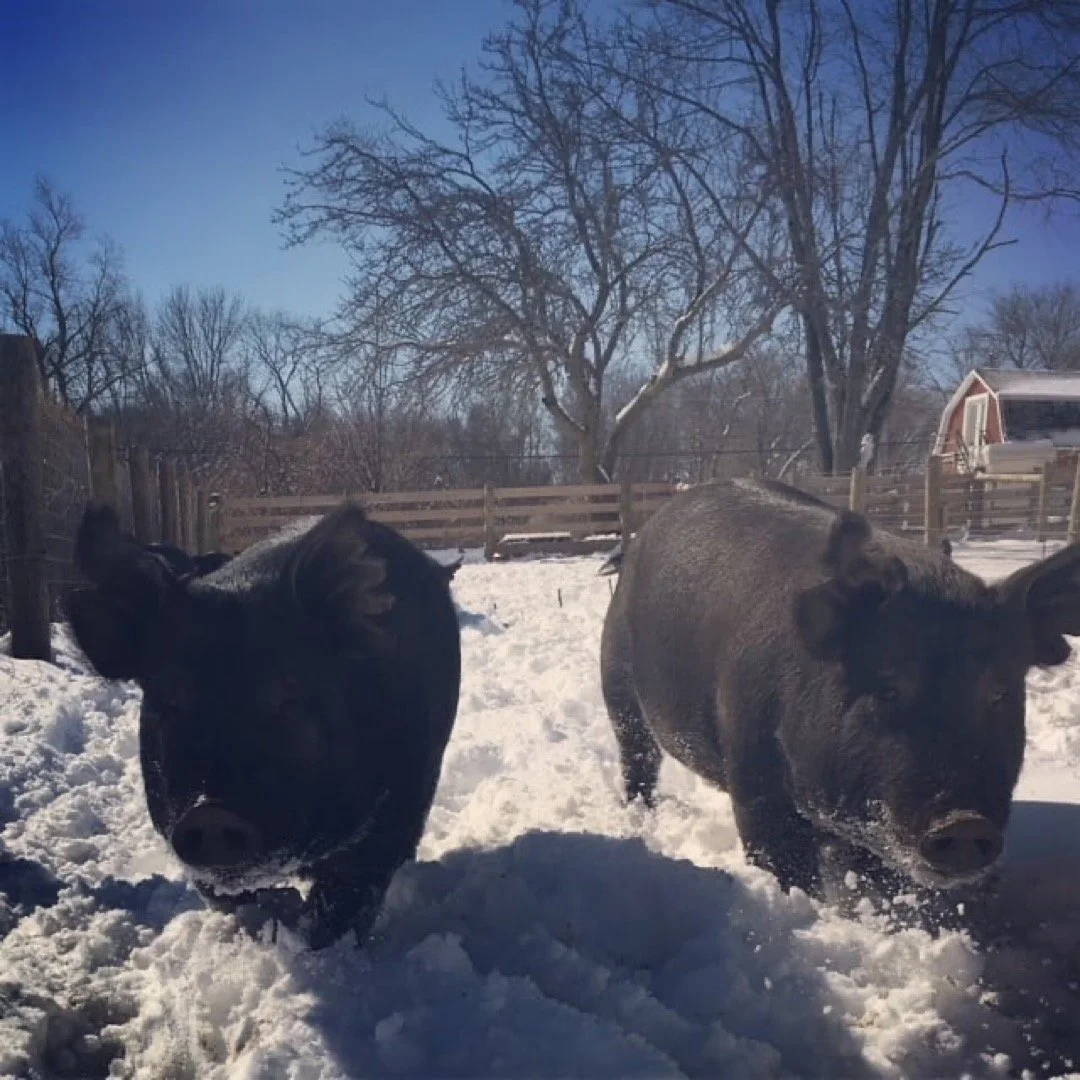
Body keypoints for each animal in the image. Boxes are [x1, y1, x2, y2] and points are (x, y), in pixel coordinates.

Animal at [65, 501, 461, 949]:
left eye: (286, 694)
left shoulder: (391, 820)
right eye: (171, 701)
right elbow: (230, 897)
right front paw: (274, 920)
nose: (210, 811)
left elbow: (340, 910)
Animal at [601, 478, 1080, 905]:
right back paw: (640, 814)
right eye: (888, 688)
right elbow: (782, 865)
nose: (963, 823)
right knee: (637, 757)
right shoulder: (753, 775)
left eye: (998, 694)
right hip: (618, 686)